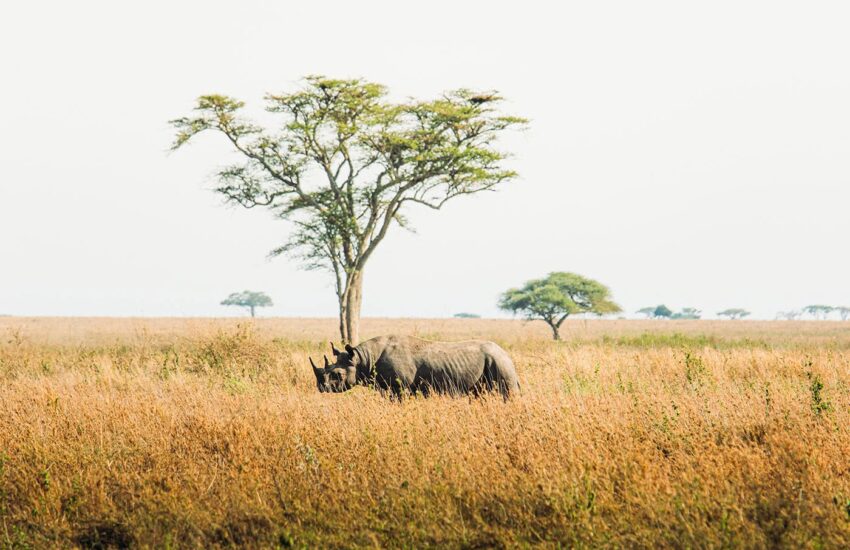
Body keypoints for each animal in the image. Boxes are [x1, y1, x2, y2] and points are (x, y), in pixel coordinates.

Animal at [309, 335, 520, 399]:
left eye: (337, 374)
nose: (321, 388)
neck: (362, 359)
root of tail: (506, 354)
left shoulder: (400, 388)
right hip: (495, 362)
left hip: (498, 363)